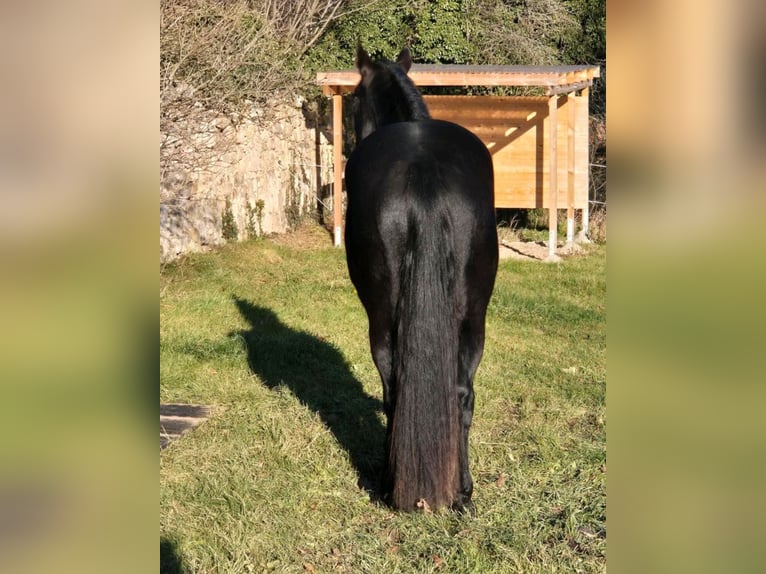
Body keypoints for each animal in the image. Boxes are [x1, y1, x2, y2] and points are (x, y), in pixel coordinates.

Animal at [344, 46, 499, 511]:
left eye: (353, 101)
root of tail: (425, 171)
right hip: (474, 317)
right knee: (462, 393)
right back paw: (462, 491)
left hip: (380, 318)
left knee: (393, 390)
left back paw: (388, 485)